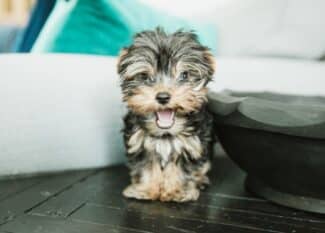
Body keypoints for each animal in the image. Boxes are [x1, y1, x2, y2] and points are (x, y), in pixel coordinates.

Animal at [116, 27, 215, 202]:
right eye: (144, 76)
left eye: (184, 75)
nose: (163, 97)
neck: (165, 133)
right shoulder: (141, 143)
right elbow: (147, 166)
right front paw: (147, 190)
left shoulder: (191, 145)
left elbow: (181, 167)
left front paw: (176, 191)